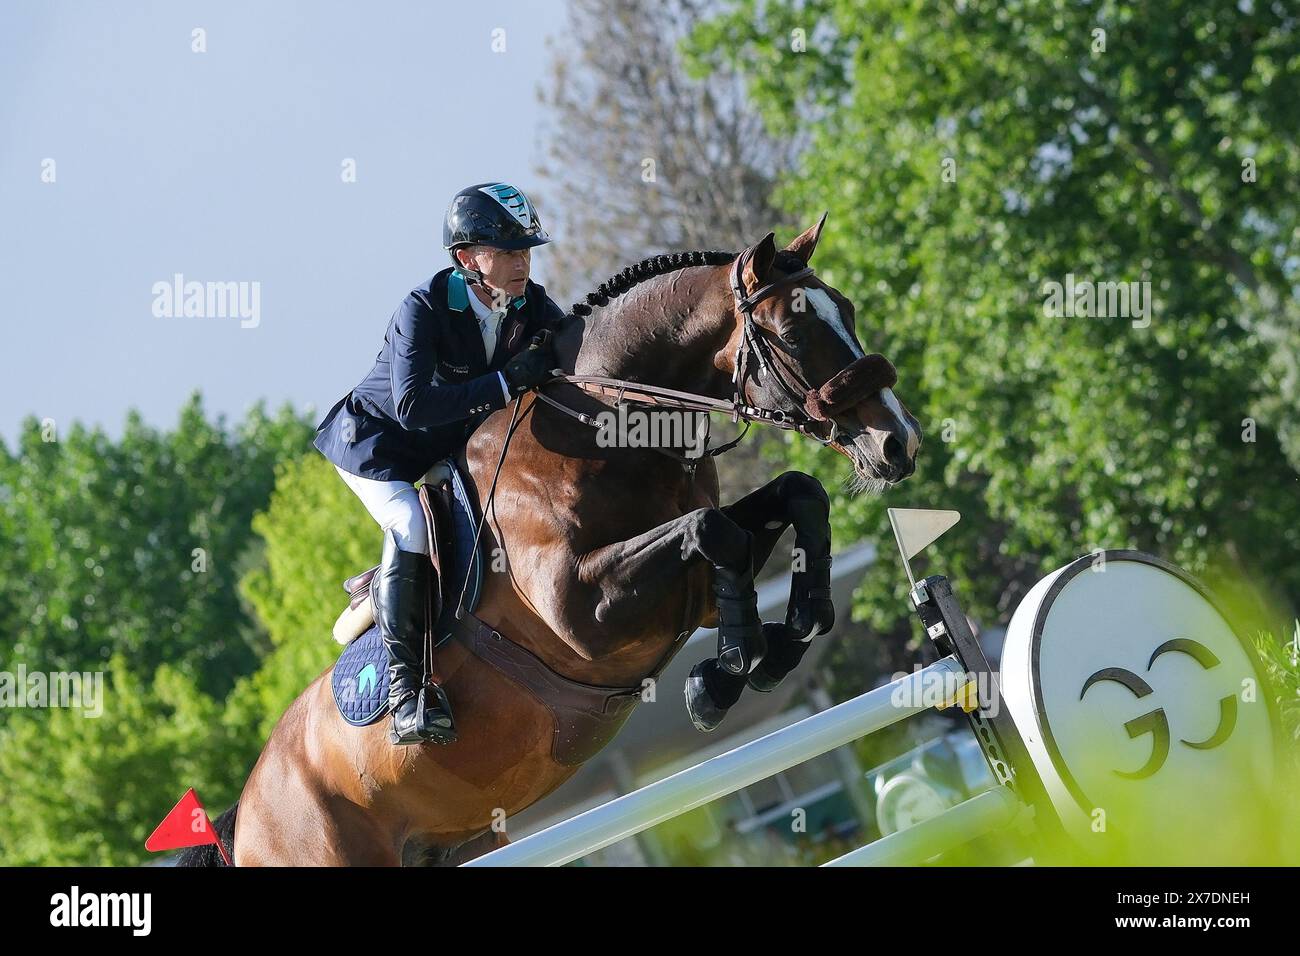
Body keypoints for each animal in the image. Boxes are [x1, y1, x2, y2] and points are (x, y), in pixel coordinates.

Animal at [183, 218, 920, 868]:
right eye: (792, 333)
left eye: (847, 310)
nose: (899, 442)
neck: (604, 425)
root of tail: (243, 818)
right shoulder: (584, 617)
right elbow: (716, 533)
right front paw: (724, 674)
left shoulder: (690, 589)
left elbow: (792, 499)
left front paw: (790, 634)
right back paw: (417, 710)